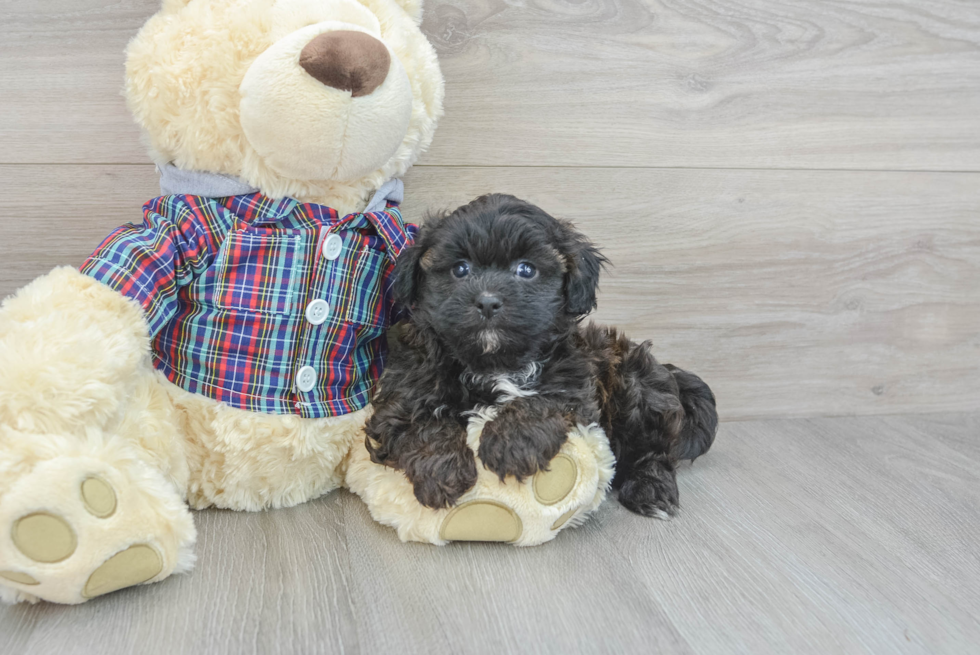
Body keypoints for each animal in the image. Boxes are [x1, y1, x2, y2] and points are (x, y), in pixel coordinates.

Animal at [364, 192, 716, 520]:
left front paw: (511, 443)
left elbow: (542, 400)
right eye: (460, 269)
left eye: (526, 269)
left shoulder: (576, 386)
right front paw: (443, 471)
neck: (494, 362)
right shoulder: (405, 392)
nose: (488, 301)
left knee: (654, 451)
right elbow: (419, 424)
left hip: (636, 386)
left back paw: (650, 489)